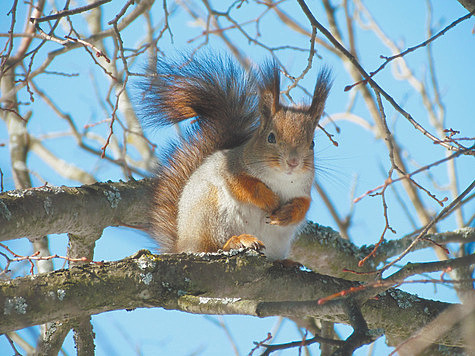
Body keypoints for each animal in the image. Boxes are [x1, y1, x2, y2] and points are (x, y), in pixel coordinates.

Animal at [140, 54, 330, 260]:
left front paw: (287, 214)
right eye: (271, 137)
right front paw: (269, 199)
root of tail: (183, 245)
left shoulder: (303, 189)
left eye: (312, 143)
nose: (293, 162)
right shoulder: (230, 168)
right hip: (209, 217)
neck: (280, 179)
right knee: (213, 246)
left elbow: (303, 205)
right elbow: (245, 185)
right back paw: (238, 240)